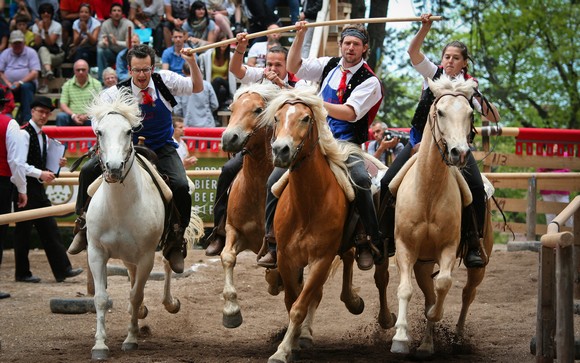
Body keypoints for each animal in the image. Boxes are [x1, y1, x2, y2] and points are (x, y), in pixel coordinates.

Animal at [84, 89, 204, 360]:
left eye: (129, 131)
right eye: (99, 132)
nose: (114, 168)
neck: (120, 207)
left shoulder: (146, 256)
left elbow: (136, 295)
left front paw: (130, 339)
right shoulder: (96, 252)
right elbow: (101, 298)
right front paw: (99, 345)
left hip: (161, 246)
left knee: (168, 264)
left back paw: (169, 303)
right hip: (127, 256)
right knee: (131, 276)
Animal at [262, 87, 394, 363]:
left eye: (305, 118)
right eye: (277, 118)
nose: (280, 150)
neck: (307, 204)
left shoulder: (321, 258)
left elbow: (300, 305)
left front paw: (283, 350)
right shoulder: (287, 258)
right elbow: (293, 300)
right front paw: (293, 342)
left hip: (383, 243)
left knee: (381, 278)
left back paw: (386, 318)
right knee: (348, 260)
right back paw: (350, 302)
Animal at [390, 75, 494, 356]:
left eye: (470, 113)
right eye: (440, 112)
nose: (460, 153)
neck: (428, 191)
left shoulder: (448, 247)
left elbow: (444, 284)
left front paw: (435, 316)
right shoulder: (405, 247)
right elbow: (406, 290)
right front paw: (400, 338)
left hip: (479, 261)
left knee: (468, 293)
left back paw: (454, 337)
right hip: (423, 263)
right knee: (429, 292)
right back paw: (426, 343)